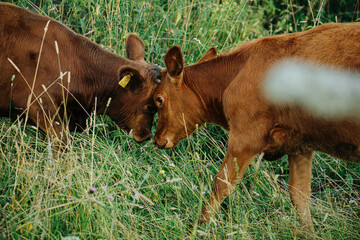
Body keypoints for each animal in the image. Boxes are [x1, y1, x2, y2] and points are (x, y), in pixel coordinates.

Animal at [153, 23, 360, 231]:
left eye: (158, 99)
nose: (156, 139)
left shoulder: (245, 138)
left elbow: (222, 183)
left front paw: (197, 228)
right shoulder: (299, 144)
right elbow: (299, 194)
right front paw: (309, 233)